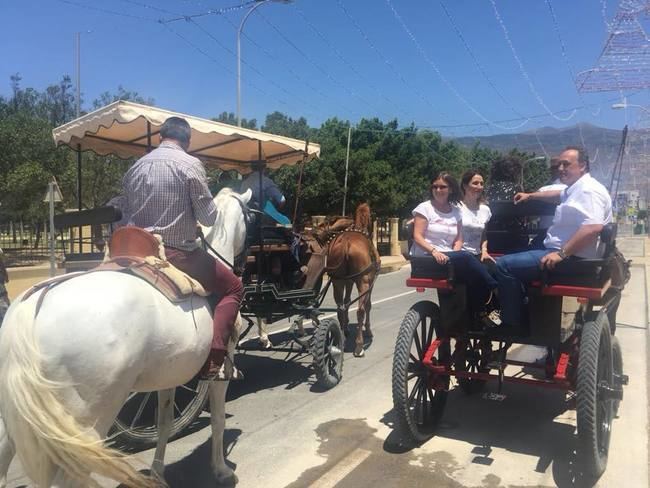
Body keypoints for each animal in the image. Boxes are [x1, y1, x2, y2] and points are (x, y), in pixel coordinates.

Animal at [0, 188, 251, 488]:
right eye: (250, 218)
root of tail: (28, 312)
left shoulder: (170, 374)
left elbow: (164, 422)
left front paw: (157, 474)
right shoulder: (220, 371)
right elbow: (218, 420)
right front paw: (221, 470)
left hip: (15, 415)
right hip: (91, 414)